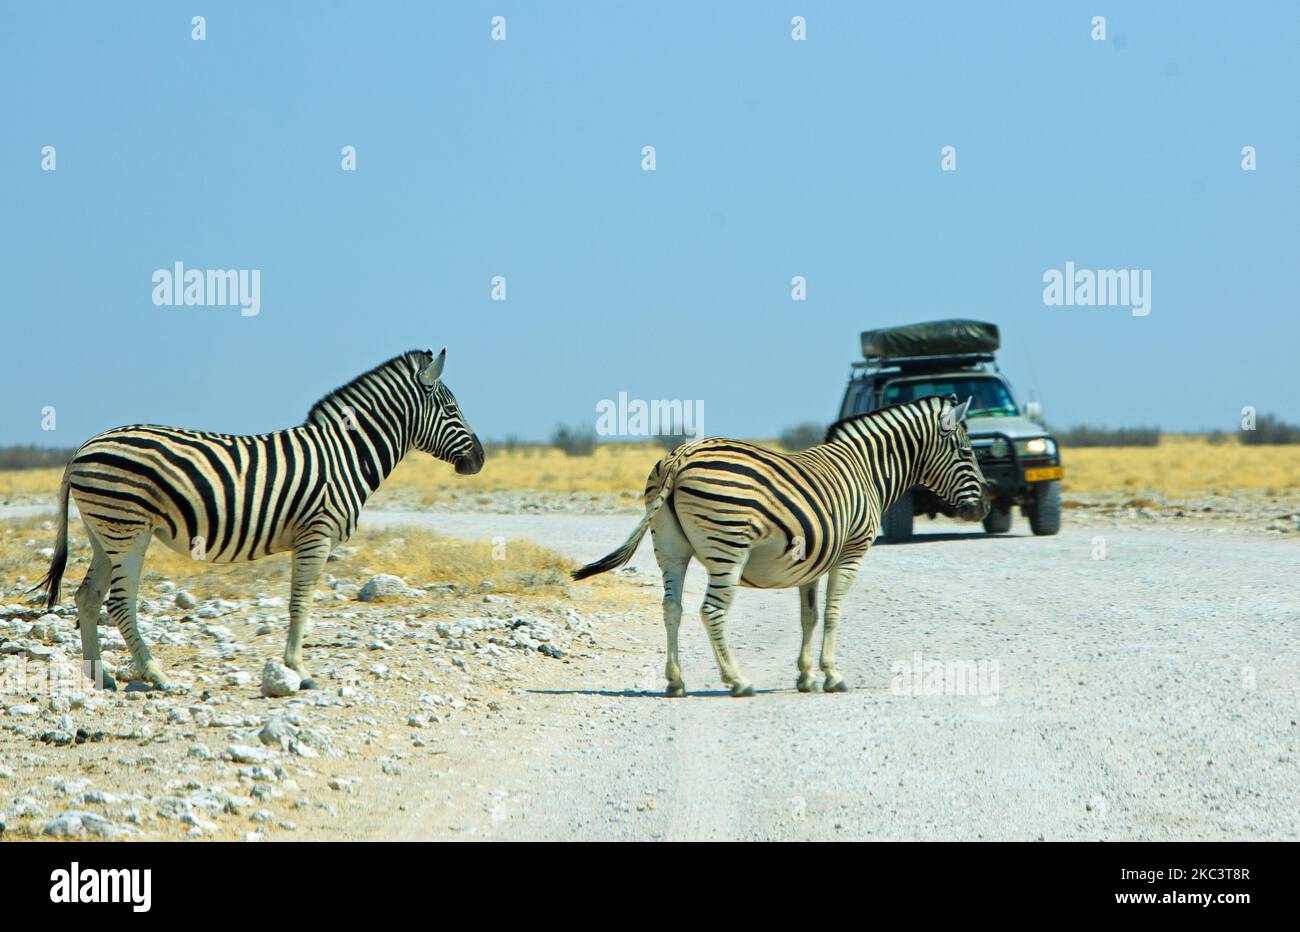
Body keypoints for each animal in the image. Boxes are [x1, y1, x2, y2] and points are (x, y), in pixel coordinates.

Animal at [34, 348, 483, 691]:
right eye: (452, 409)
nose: (478, 460)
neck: (346, 454)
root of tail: (81, 449)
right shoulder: (315, 533)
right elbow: (300, 602)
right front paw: (298, 670)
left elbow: (298, 602)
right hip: (127, 529)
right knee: (119, 603)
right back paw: (157, 675)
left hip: (103, 531)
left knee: (88, 597)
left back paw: (100, 677)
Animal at [574, 395, 987, 696]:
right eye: (968, 452)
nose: (983, 508)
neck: (867, 470)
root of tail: (681, 455)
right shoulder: (851, 553)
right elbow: (833, 614)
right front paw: (832, 675)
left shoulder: (813, 562)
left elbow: (810, 617)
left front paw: (806, 677)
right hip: (728, 546)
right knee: (711, 611)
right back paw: (737, 681)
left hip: (670, 548)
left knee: (672, 608)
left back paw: (676, 682)